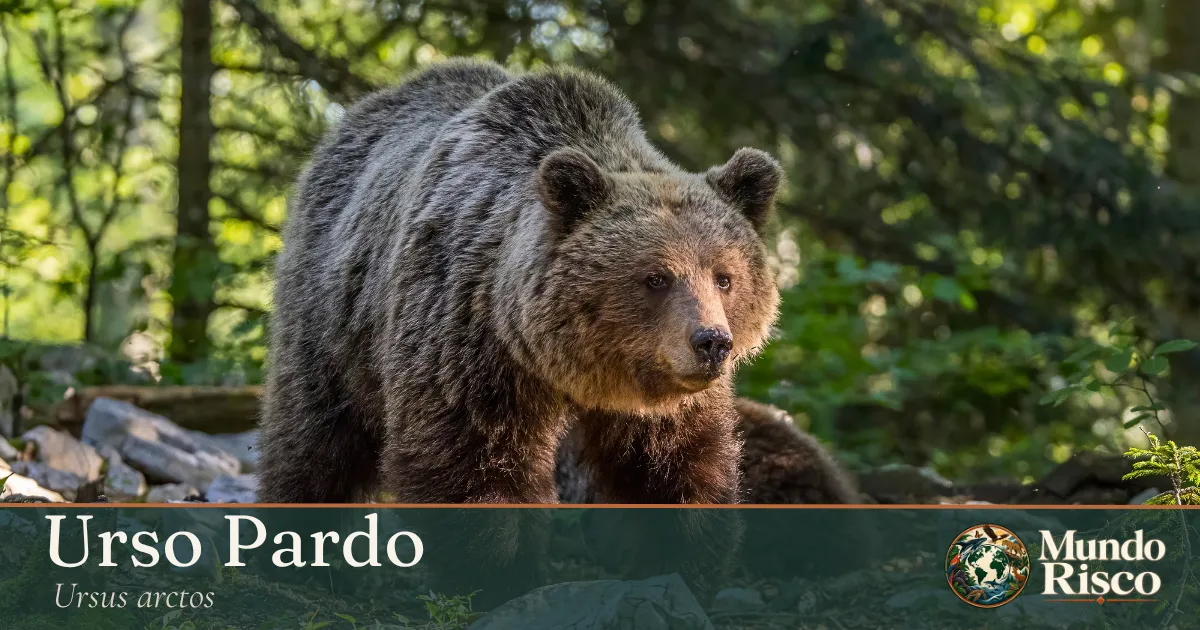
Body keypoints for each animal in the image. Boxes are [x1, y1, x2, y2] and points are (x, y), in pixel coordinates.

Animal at [257, 58, 783, 506]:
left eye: (725, 278)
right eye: (656, 277)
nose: (711, 342)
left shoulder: (667, 403)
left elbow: (677, 472)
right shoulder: (465, 346)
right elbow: (472, 471)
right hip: (332, 321)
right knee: (314, 441)